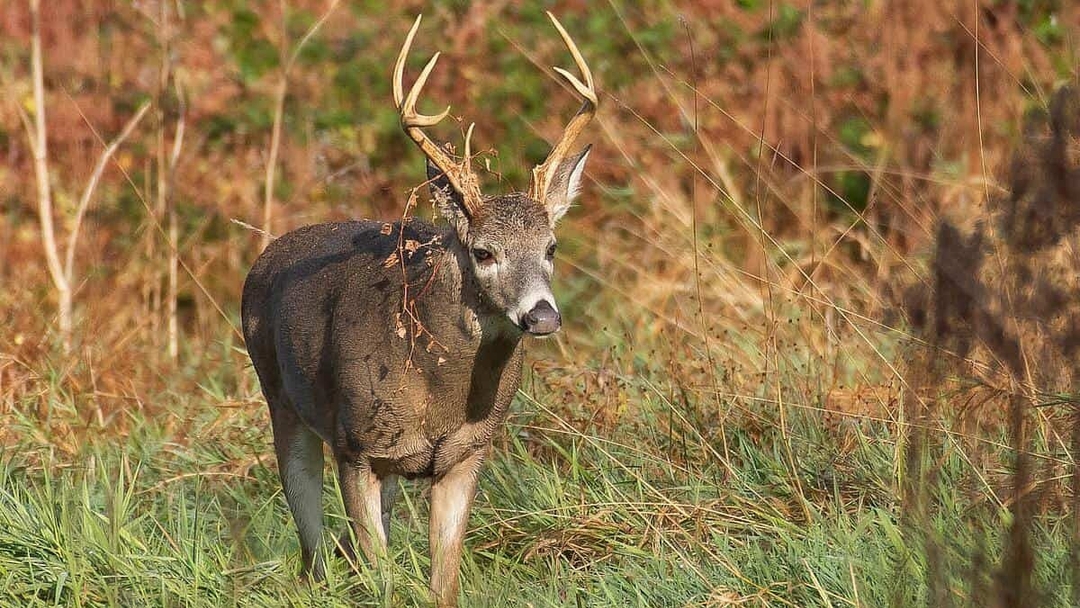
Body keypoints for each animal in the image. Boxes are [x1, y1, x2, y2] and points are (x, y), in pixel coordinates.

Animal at [240, 11, 596, 604]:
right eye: (483, 251)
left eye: (551, 247)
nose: (542, 315)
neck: (439, 394)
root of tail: (265, 257)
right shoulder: (356, 447)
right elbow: (380, 579)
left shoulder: (467, 453)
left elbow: (443, 581)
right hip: (281, 399)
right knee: (312, 548)